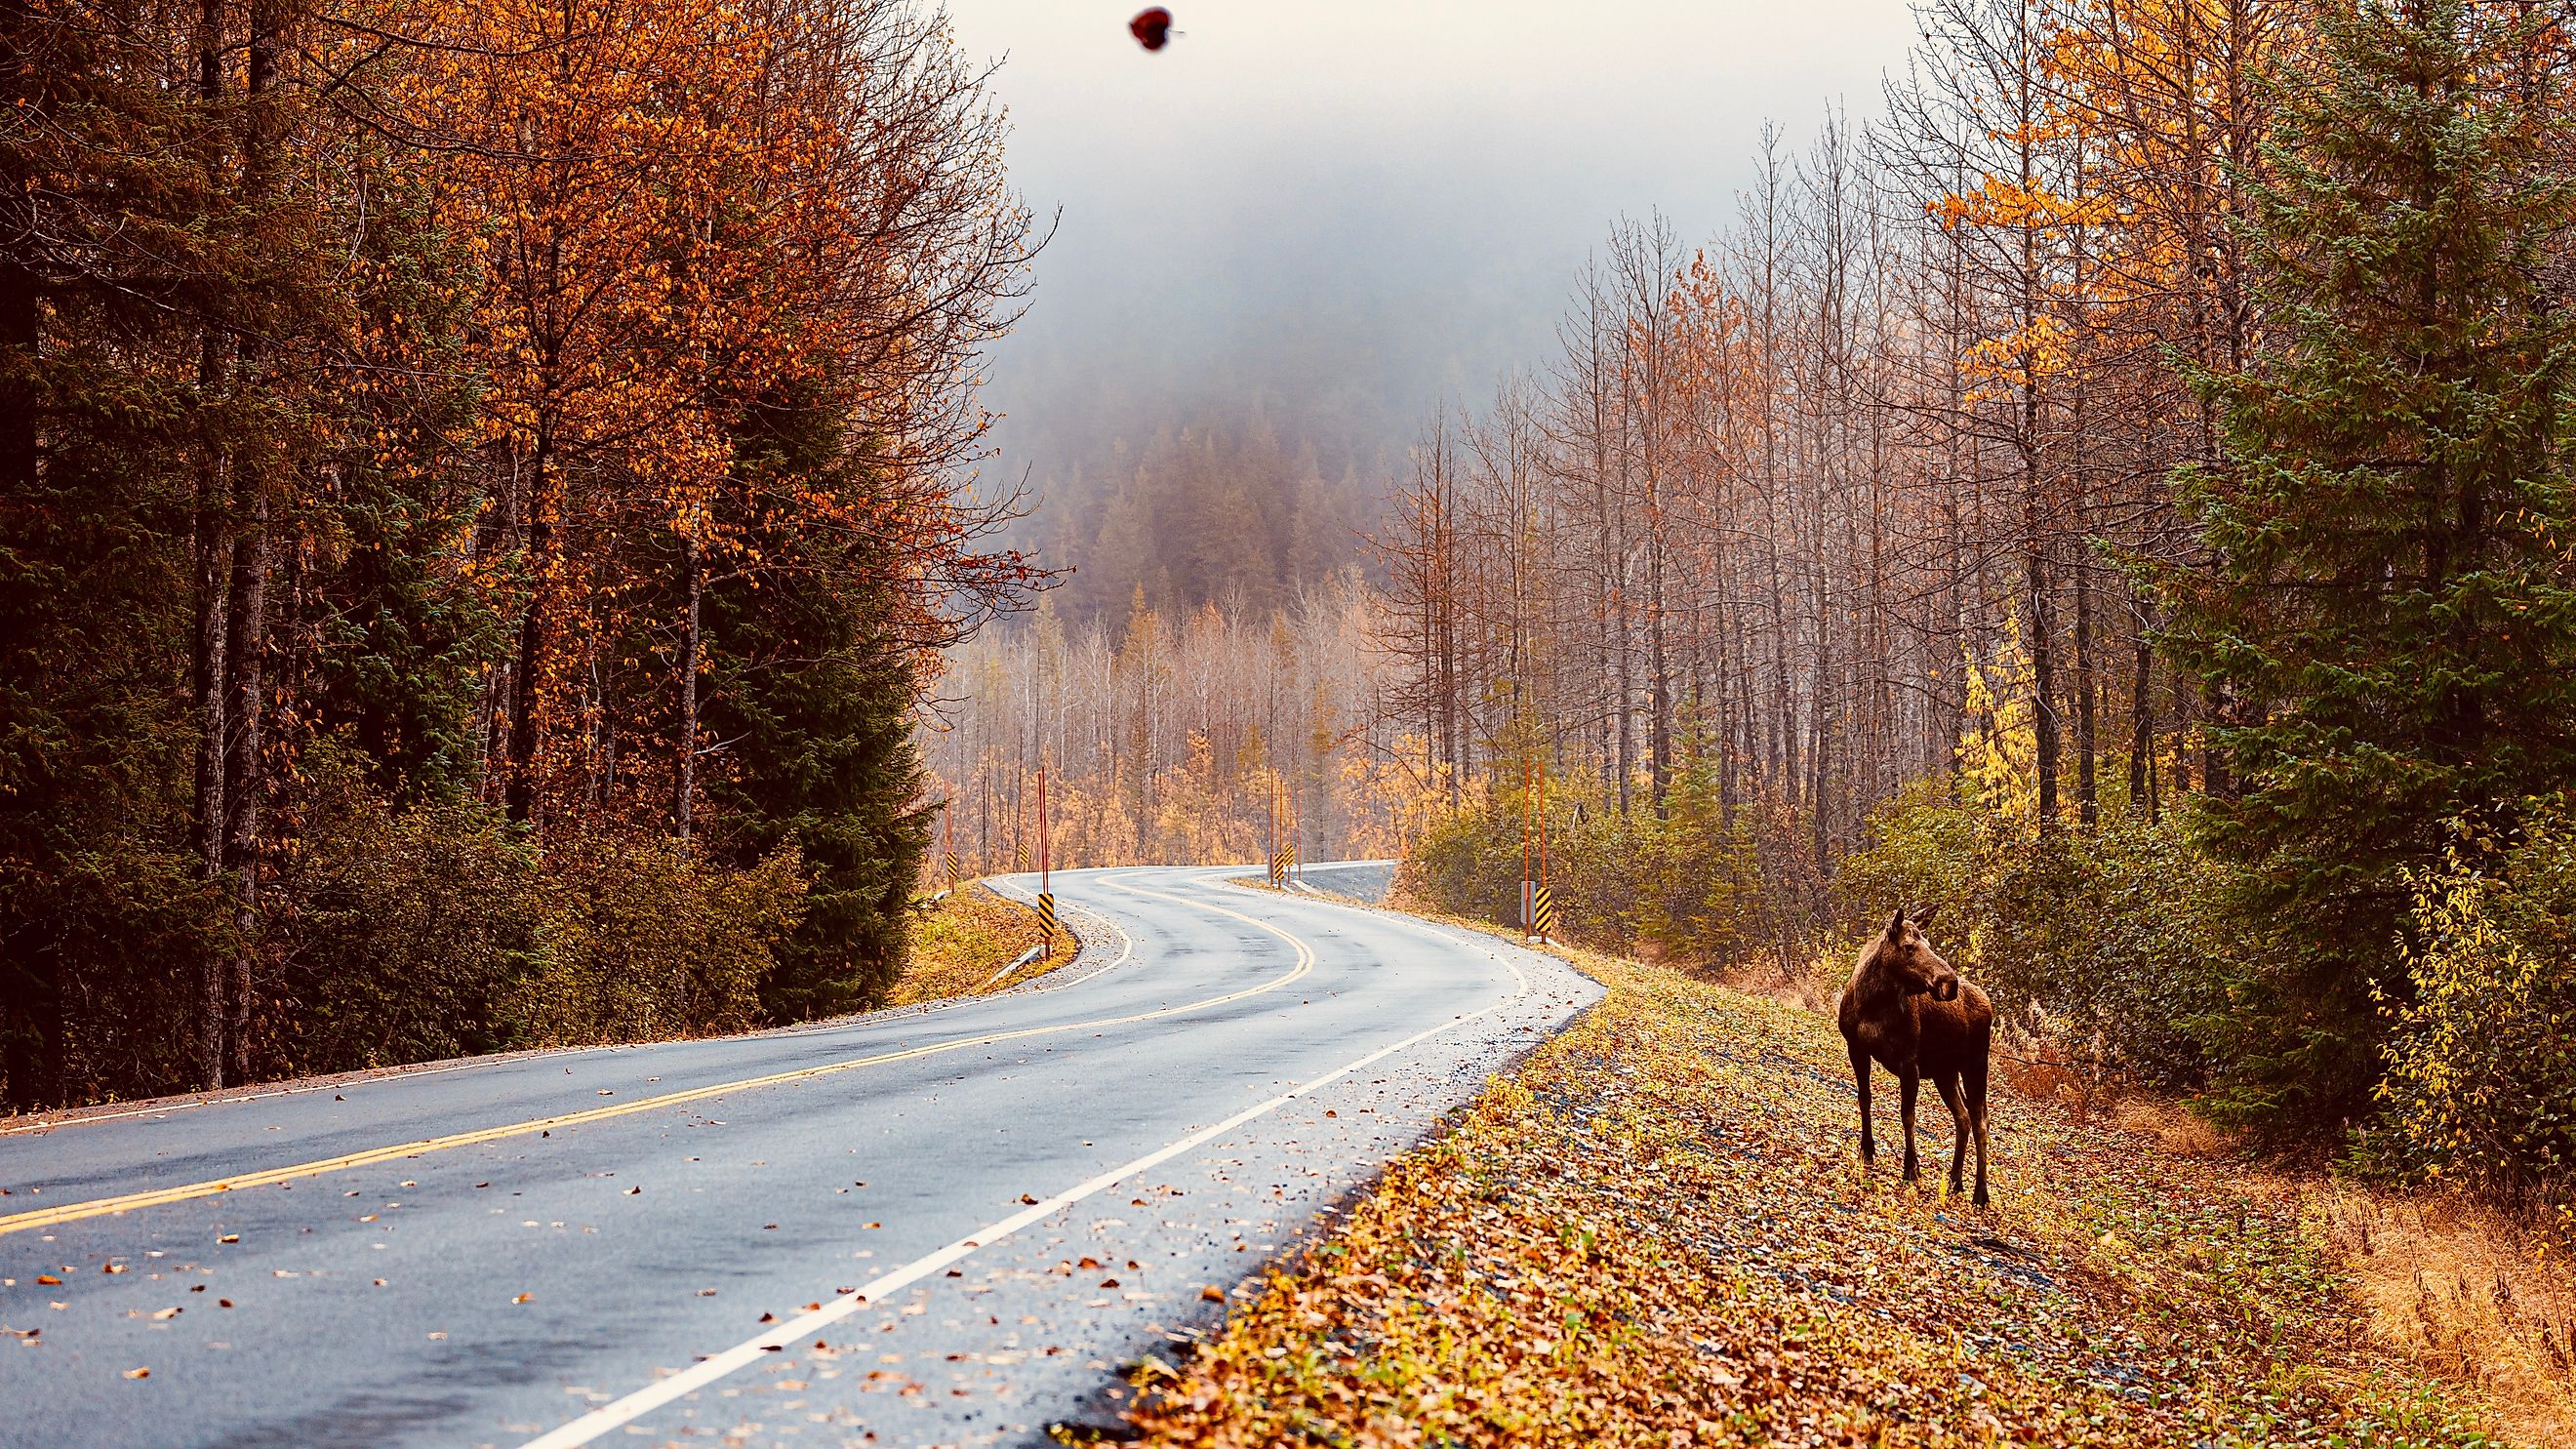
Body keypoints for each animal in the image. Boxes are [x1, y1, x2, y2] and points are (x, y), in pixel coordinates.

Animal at [1844, 907, 1998, 1201]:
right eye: (1908, 946)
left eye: (1928, 943)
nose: (1950, 982)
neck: (1873, 1004)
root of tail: (1989, 1004)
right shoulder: (1856, 1048)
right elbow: (1864, 1098)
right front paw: (1867, 1151)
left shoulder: (1909, 1061)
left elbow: (1908, 1114)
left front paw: (1911, 1169)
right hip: (1945, 1072)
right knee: (1963, 1117)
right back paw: (1955, 1180)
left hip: (1976, 1063)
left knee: (1980, 1120)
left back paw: (1980, 1194)